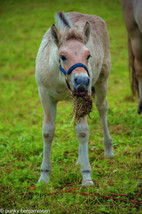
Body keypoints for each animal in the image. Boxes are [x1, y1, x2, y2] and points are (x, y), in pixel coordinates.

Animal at [35, 11, 114, 186]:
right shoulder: (45, 94)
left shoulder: (84, 94)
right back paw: (79, 159)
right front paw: (44, 177)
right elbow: (47, 131)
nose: (83, 81)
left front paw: (87, 177)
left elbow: (83, 131)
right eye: (63, 56)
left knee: (102, 108)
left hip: (103, 79)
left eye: (88, 55)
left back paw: (108, 150)